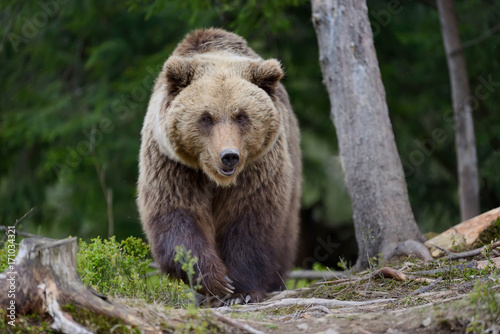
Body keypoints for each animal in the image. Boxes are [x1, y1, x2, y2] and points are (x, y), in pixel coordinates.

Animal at [137, 28, 300, 304]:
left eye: (241, 115)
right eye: (206, 117)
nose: (229, 156)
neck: (215, 179)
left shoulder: (257, 168)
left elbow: (250, 221)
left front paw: (242, 291)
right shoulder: (173, 165)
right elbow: (178, 216)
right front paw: (217, 281)